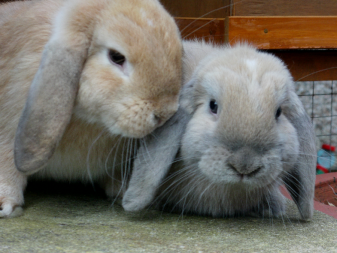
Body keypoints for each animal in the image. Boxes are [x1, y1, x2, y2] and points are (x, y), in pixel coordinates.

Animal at [0, 0, 181, 217]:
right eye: (116, 57)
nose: (165, 112)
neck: (89, 121)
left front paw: (124, 190)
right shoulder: (7, 135)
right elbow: (8, 167)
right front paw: (6, 205)